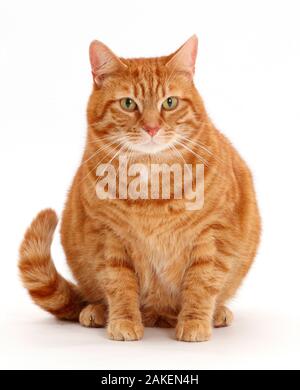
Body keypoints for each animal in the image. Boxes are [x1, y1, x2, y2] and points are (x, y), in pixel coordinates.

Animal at [18, 35, 260, 342]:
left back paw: (217, 313)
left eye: (169, 102)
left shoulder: (214, 234)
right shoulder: (108, 237)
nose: (152, 127)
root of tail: (159, 315)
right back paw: (97, 311)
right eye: (127, 103)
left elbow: (202, 283)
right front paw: (123, 321)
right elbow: (119, 285)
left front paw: (195, 322)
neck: (152, 183)